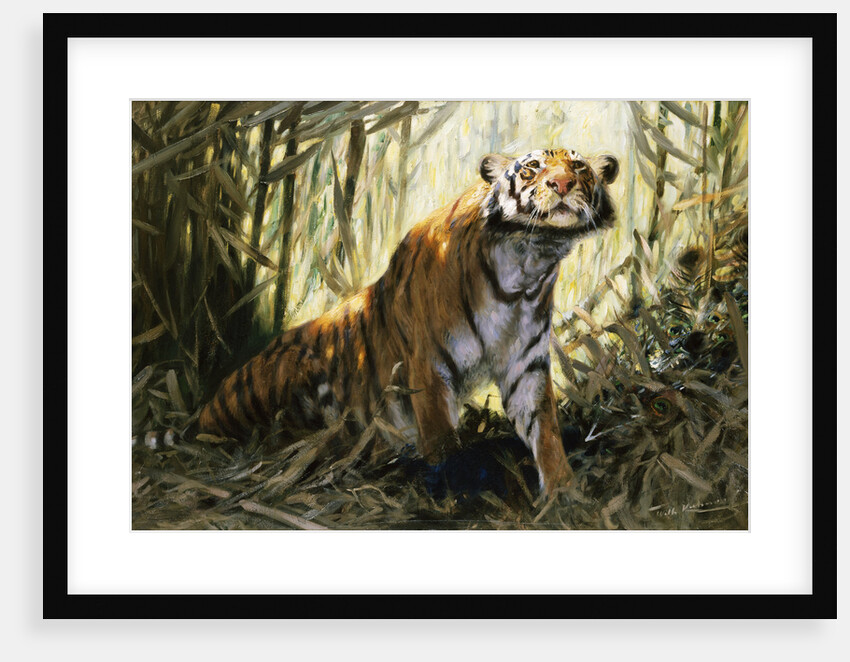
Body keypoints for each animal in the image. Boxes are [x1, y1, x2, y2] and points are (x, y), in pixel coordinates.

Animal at [199, 148, 619, 495]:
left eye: (579, 168)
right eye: (532, 167)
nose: (562, 184)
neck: (526, 261)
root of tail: (205, 410)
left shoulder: (525, 365)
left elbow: (544, 427)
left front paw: (563, 491)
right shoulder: (428, 363)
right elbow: (442, 436)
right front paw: (453, 485)